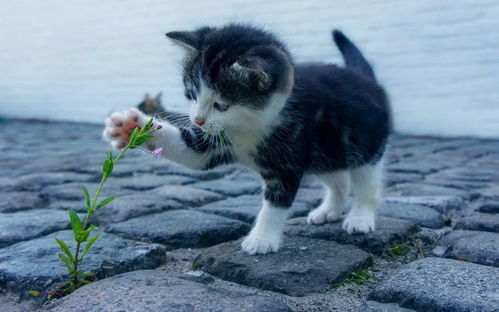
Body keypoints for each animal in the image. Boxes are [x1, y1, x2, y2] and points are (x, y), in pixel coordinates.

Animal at [102, 23, 390, 254]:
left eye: (221, 105)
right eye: (191, 93)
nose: (197, 120)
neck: (249, 126)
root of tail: (366, 79)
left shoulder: (288, 157)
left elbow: (276, 202)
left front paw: (262, 239)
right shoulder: (215, 142)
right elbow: (192, 152)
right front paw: (131, 127)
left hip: (365, 146)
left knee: (366, 184)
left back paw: (360, 218)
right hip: (326, 152)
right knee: (338, 179)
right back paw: (329, 210)